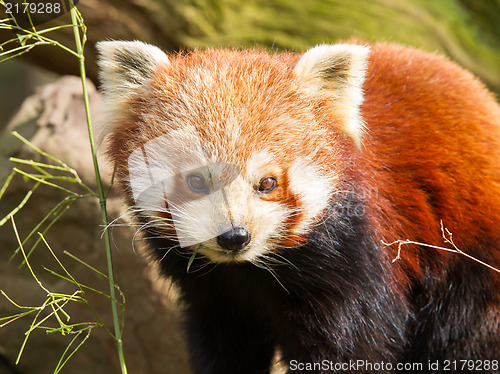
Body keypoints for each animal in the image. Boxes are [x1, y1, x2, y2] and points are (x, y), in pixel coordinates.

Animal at [96, 39, 500, 372]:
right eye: (196, 180)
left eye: (267, 183)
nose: (234, 236)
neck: (250, 270)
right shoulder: (214, 295)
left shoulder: (356, 261)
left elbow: (352, 349)